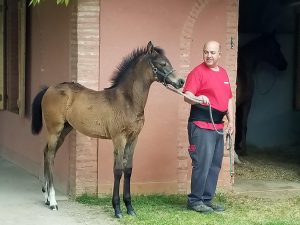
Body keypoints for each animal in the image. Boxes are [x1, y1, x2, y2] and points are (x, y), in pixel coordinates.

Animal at [31, 41, 185, 217]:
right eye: (162, 63)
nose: (181, 81)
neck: (127, 101)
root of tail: (49, 88)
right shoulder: (119, 138)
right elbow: (118, 170)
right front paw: (117, 208)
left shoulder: (134, 138)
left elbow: (128, 169)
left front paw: (130, 207)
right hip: (54, 130)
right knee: (50, 156)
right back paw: (53, 201)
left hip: (64, 130)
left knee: (47, 153)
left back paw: (46, 198)